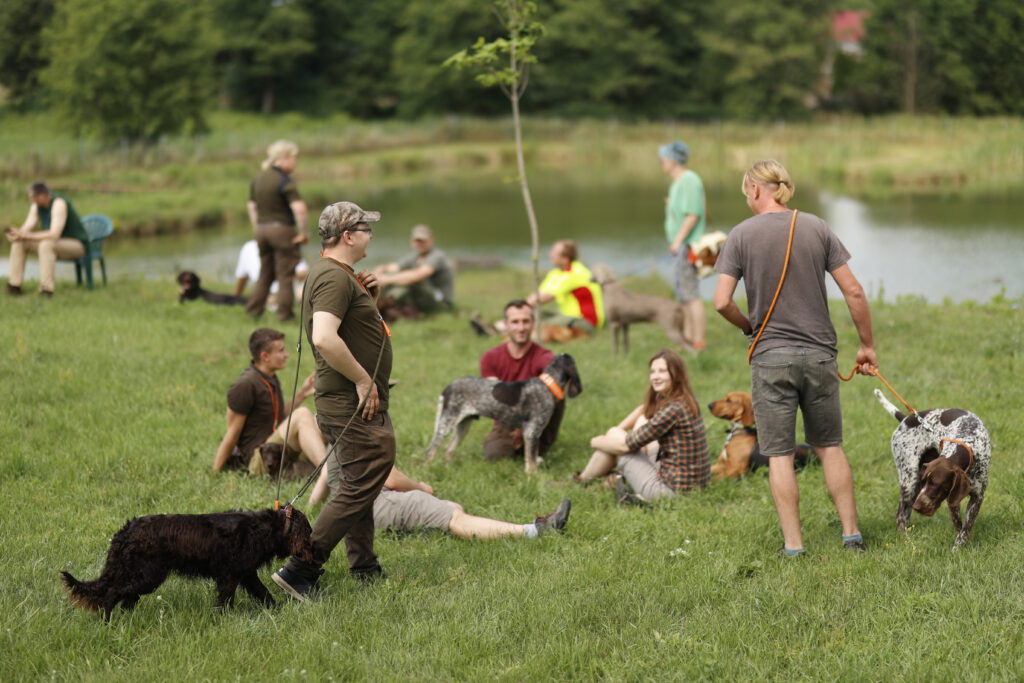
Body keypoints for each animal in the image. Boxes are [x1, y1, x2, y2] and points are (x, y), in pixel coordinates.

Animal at [60, 507, 311, 618]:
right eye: (309, 532)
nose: (313, 550)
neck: (265, 528)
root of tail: (127, 530)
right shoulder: (230, 575)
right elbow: (226, 600)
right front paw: (224, 619)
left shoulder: (246, 574)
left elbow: (263, 593)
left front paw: (276, 610)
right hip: (147, 575)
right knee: (113, 593)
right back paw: (108, 621)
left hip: (142, 576)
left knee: (126, 598)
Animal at [423, 356, 585, 473]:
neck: (547, 385)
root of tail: (448, 388)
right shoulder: (532, 432)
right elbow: (531, 461)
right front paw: (532, 478)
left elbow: (532, 458)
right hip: (446, 424)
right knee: (430, 451)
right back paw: (427, 470)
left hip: (463, 425)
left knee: (448, 449)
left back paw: (448, 468)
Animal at [872, 389, 991, 548]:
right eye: (927, 483)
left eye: (935, 484)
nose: (917, 507)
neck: (968, 445)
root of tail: (906, 418)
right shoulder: (952, 500)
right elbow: (959, 526)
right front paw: (958, 548)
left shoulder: (977, 497)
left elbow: (966, 528)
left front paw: (960, 545)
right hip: (909, 480)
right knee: (900, 516)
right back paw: (907, 541)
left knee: (905, 515)